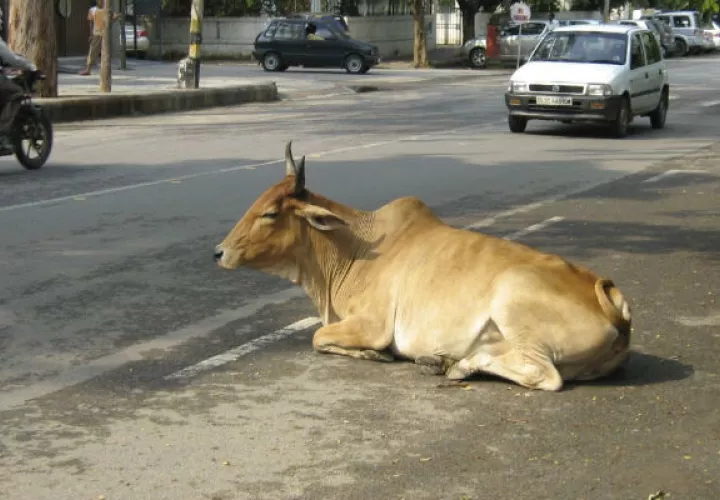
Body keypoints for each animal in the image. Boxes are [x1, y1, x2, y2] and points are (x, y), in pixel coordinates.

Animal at [213, 142, 632, 391]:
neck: (352, 249)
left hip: (513, 305)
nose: (219, 252)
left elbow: (318, 338)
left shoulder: (372, 325)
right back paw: (443, 360)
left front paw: (373, 355)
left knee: (542, 375)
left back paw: (458, 365)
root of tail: (609, 300)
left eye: (270, 213)